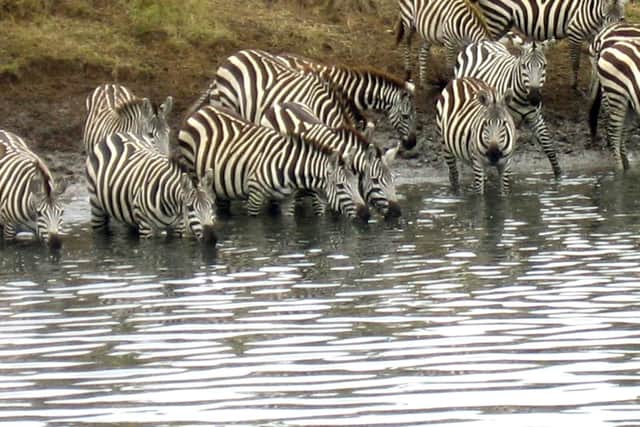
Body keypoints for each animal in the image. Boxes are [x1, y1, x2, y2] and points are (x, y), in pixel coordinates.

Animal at [86, 131, 217, 242]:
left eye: (211, 205)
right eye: (190, 208)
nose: (211, 238)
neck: (170, 207)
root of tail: (115, 134)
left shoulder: (178, 227)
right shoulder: (146, 228)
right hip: (96, 206)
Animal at [177, 105, 370, 221]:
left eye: (358, 182)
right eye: (340, 186)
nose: (366, 215)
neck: (289, 167)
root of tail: (202, 110)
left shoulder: (288, 200)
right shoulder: (255, 195)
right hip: (193, 170)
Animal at [454, 39, 561, 177]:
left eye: (544, 66)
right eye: (524, 66)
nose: (534, 98)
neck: (524, 99)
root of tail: (481, 42)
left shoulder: (536, 118)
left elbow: (548, 146)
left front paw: (559, 176)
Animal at [467, 0, 629, 88]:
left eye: (621, 19)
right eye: (604, 17)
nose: (611, 36)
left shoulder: (594, 36)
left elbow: (596, 63)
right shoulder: (575, 32)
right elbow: (575, 62)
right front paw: (575, 85)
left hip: (504, 21)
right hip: (497, 18)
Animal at [589, 40, 640, 171]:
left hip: (629, 104)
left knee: (622, 133)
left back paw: (627, 168)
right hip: (617, 94)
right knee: (614, 132)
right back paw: (619, 170)